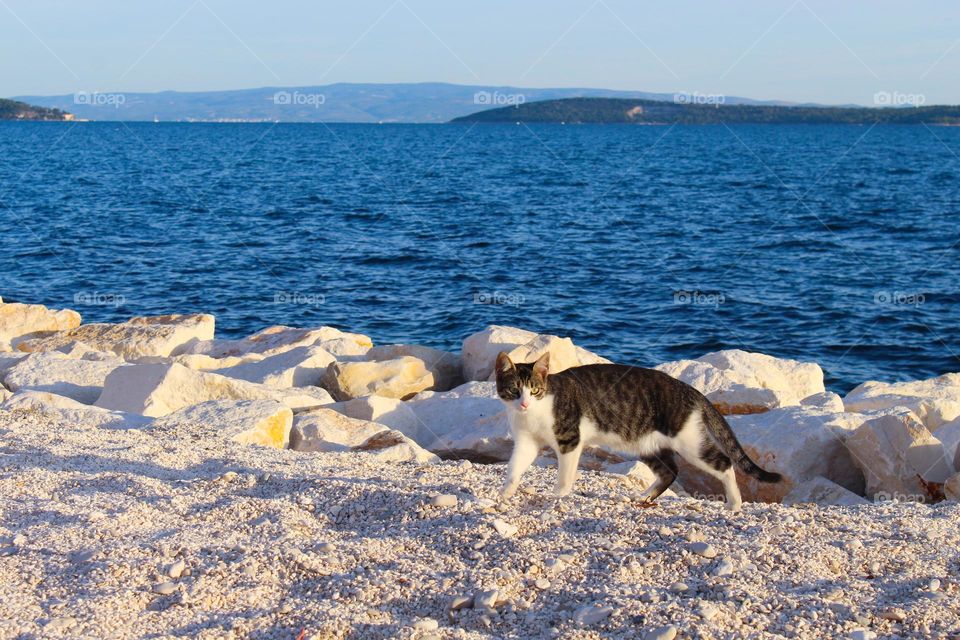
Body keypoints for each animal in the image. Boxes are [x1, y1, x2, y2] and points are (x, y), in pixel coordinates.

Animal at [496, 350, 780, 510]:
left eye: (534, 390)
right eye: (514, 390)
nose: (524, 403)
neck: (532, 414)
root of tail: (691, 390)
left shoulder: (569, 439)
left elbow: (565, 475)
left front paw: (558, 495)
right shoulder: (526, 442)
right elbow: (514, 468)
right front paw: (505, 493)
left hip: (689, 442)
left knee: (723, 462)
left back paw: (734, 503)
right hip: (646, 444)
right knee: (670, 471)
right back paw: (645, 497)